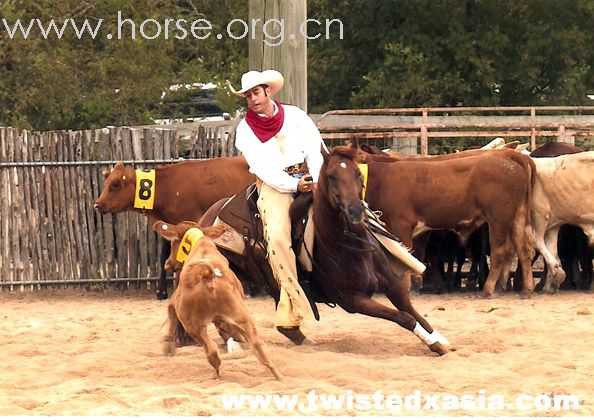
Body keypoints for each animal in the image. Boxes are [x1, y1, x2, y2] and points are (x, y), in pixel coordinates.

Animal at [153, 221, 282, 382]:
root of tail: (208, 276)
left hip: (193, 327)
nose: (167, 263)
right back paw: (279, 377)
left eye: (173, 243)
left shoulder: (177, 301)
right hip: (241, 319)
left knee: (212, 352)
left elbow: (170, 308)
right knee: (260, 349)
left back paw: (216, 375)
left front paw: (167, 342)